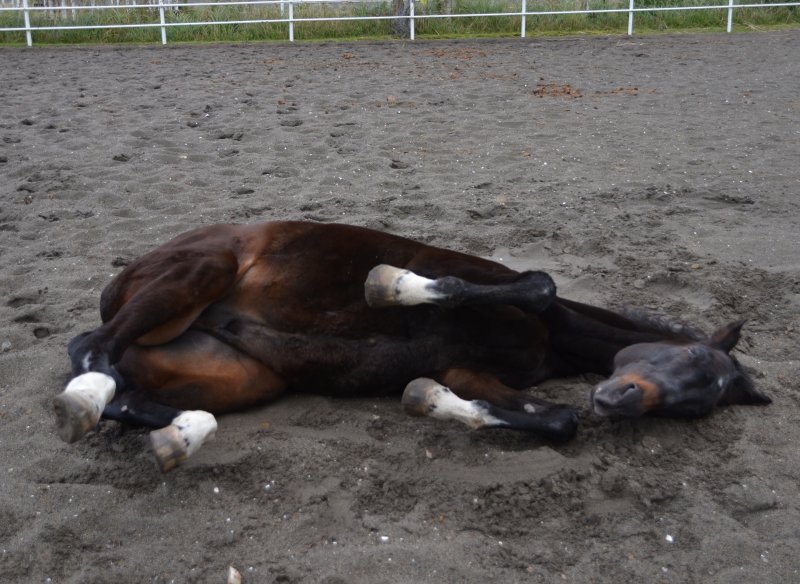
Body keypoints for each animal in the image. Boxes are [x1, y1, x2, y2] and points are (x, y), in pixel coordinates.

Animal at [54, 221, 770, 471]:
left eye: (698, 405)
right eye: (692, 358)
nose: (618, 401)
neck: (558, 341)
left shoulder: (472, 371)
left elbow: (555, 420)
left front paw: (427, 400)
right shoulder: (496, 287)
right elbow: (535, 284)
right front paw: (391, 285)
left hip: (246, 377)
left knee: (129, 394)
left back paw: (182, 433)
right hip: (197, 274)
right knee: (90, 348)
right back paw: (86, 398)